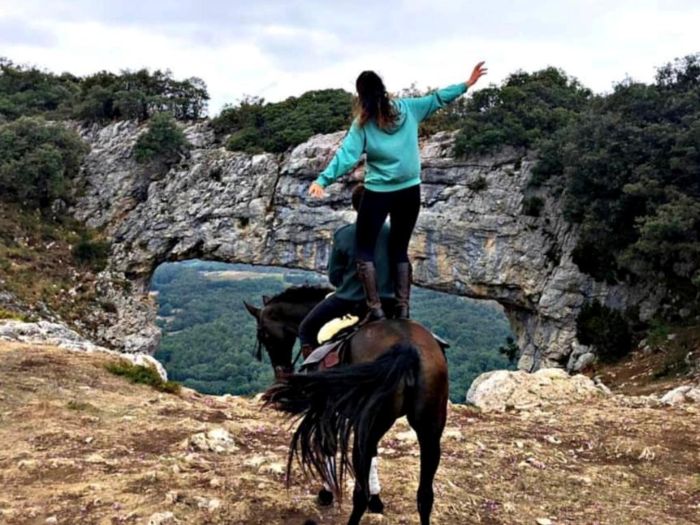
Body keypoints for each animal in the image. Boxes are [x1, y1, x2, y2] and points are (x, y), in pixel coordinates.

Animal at [245, 285, 448, 525]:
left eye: (264, 334)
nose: (281, 372)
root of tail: (407, 347)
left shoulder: (328, 409)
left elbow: (328, 446)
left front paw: (327, 492)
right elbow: (373, 456)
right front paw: (377, 500)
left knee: (360, 494)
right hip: (428, 429)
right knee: (425, 496)